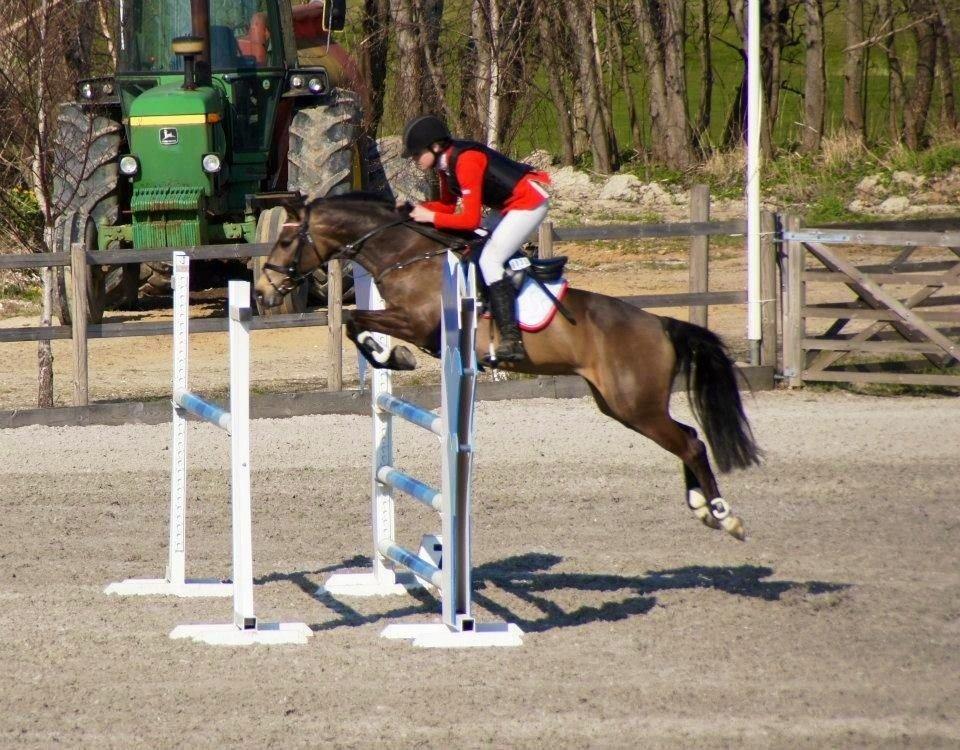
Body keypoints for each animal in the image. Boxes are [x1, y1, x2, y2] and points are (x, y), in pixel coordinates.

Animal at [254, 195, 760, 540]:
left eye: (285, 239)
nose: (262, 292)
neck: (406, 253)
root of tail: (660, 324)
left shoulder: (419, 323)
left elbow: (354, 321)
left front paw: (394, 356)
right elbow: (355, 323)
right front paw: (389, 355)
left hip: (635, 404)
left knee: (690, 443)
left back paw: (724, 514)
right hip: (621, 406)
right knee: (687, 438)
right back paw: (701, 506)